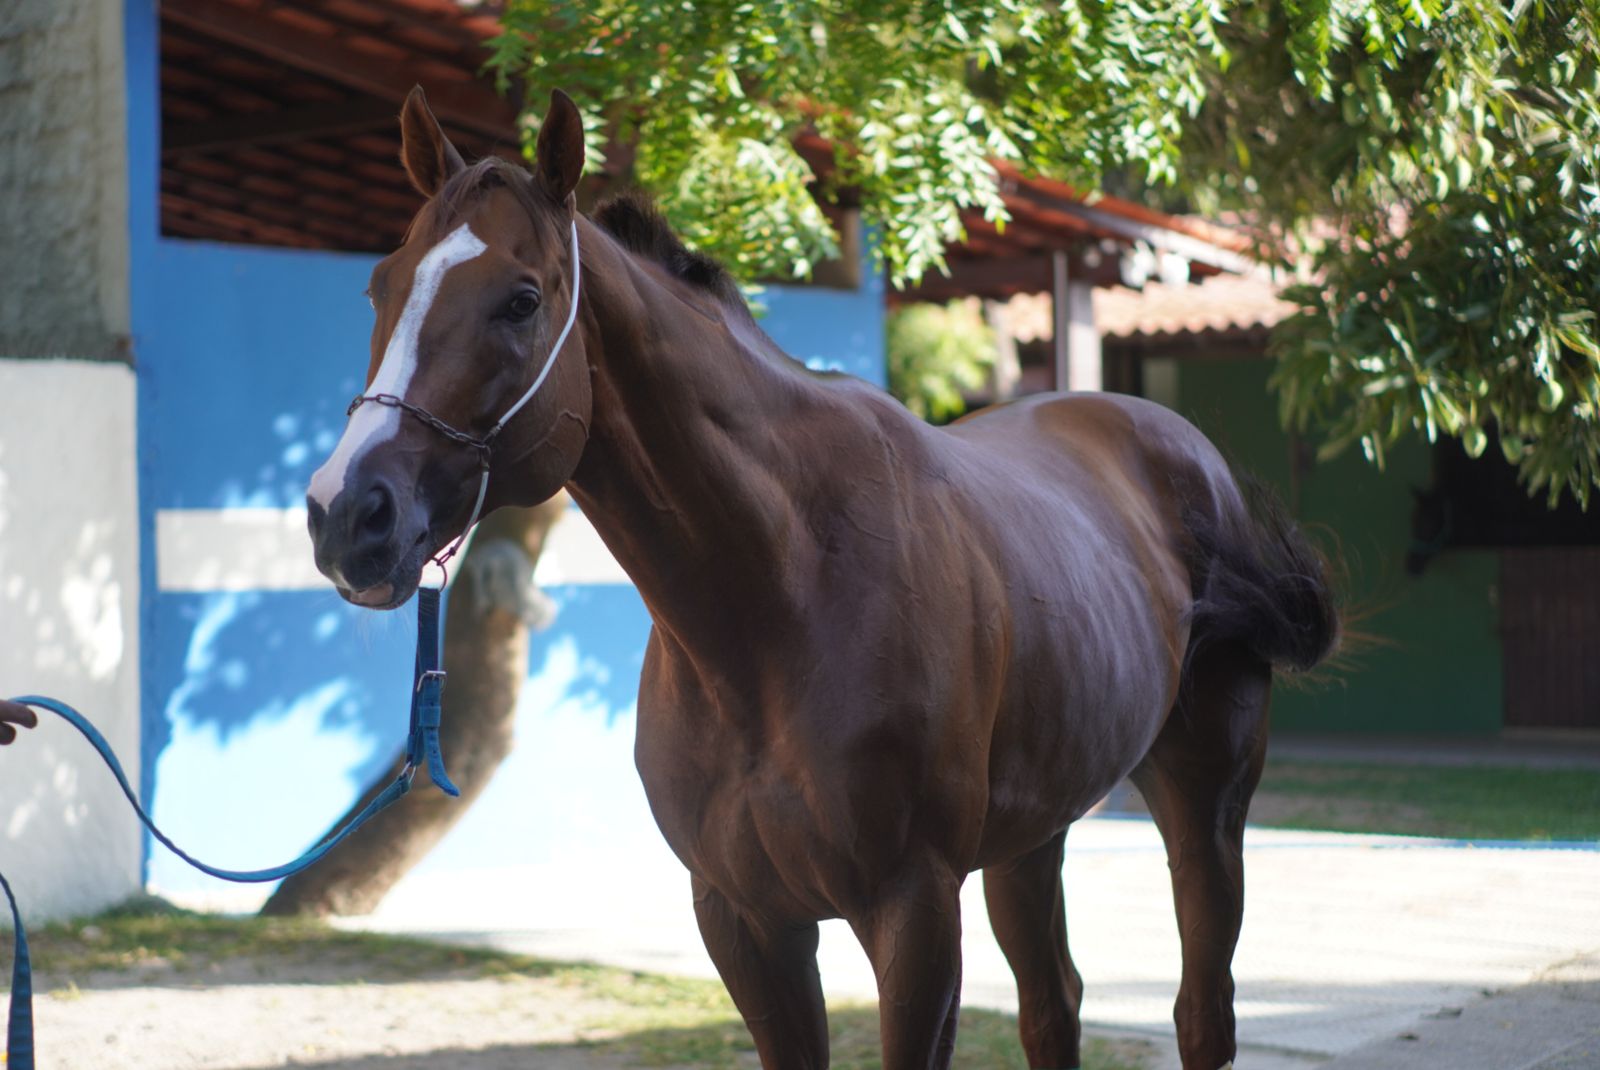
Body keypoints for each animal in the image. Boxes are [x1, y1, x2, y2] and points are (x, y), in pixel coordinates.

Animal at [305, 86, 1338, 1070]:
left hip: (1205, 806)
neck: (782, 600)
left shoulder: (915, 914)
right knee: (1055, 1006)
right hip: (1031, 834)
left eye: (520, 301)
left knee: (1202, 1012)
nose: (347, 514)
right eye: (379, 286)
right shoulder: (745, 921)